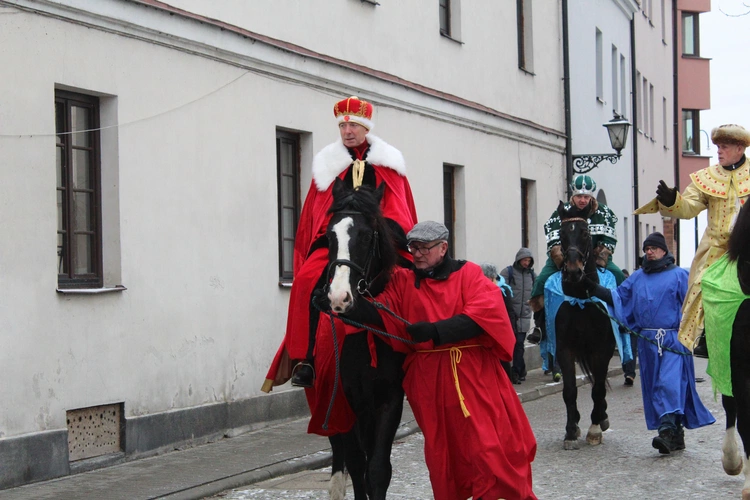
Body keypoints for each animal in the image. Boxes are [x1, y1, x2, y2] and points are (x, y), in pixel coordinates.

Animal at [320, 179, 408, 500]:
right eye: (329, 235)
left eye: (367, 235)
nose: (338, 298)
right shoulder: (345, 398)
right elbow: (357, 464)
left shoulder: (390, 397)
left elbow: (378, 470)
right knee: (341, 455)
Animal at [556, 201, 620, 452]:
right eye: (562, 234)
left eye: (584, 232)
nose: (574, 270)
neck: (581, 301)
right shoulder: (565, 349)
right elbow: (569, 390)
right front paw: (571, 430)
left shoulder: (602, 349)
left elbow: (598, 388)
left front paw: (594, 428)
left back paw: (601, 417)